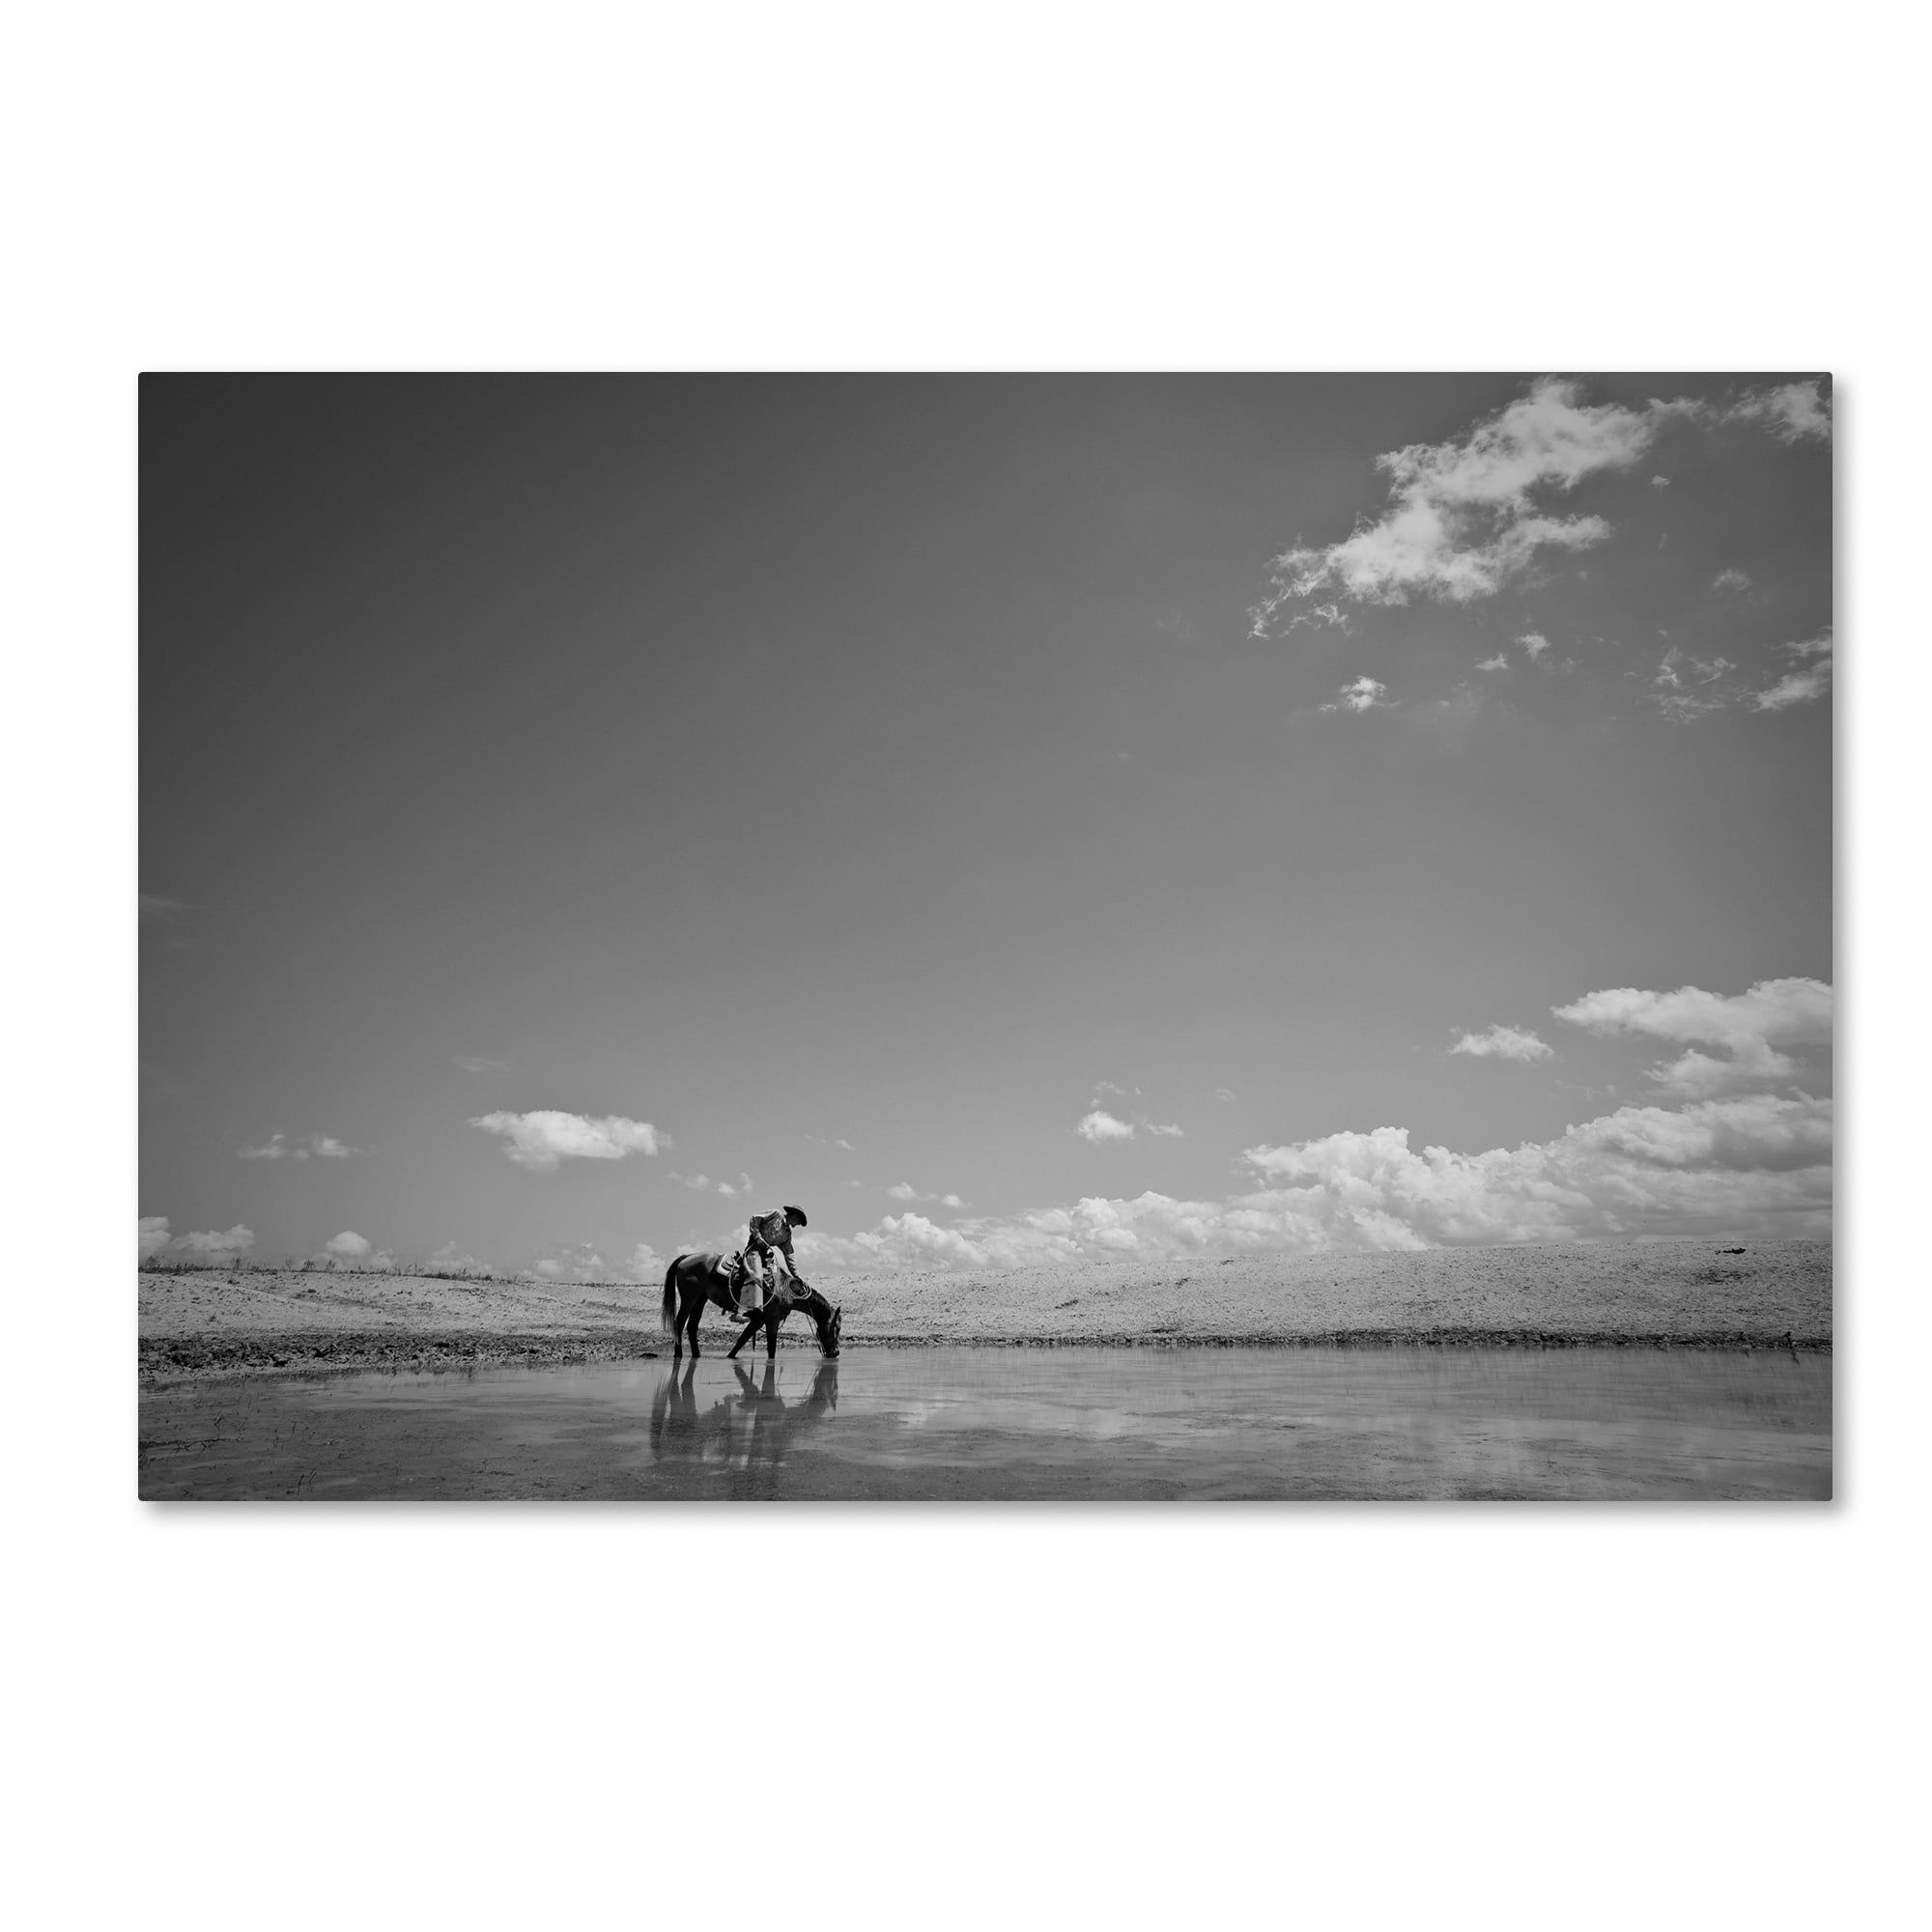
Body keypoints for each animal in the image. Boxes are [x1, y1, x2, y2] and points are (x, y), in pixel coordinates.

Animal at [661, 1252, 842, 1360]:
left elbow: (741, 1341)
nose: (836, 1353)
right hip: (689, 1299)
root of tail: (686, 1257)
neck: (784, 1290)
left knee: (692, 1326)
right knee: (680, 1322)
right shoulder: (771, 1321)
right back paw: (678, 1354)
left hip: (701, 1299)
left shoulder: (758, 1320)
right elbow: (771, 1349)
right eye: (837, 1328)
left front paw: (730, 1357)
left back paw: (697, 1355)